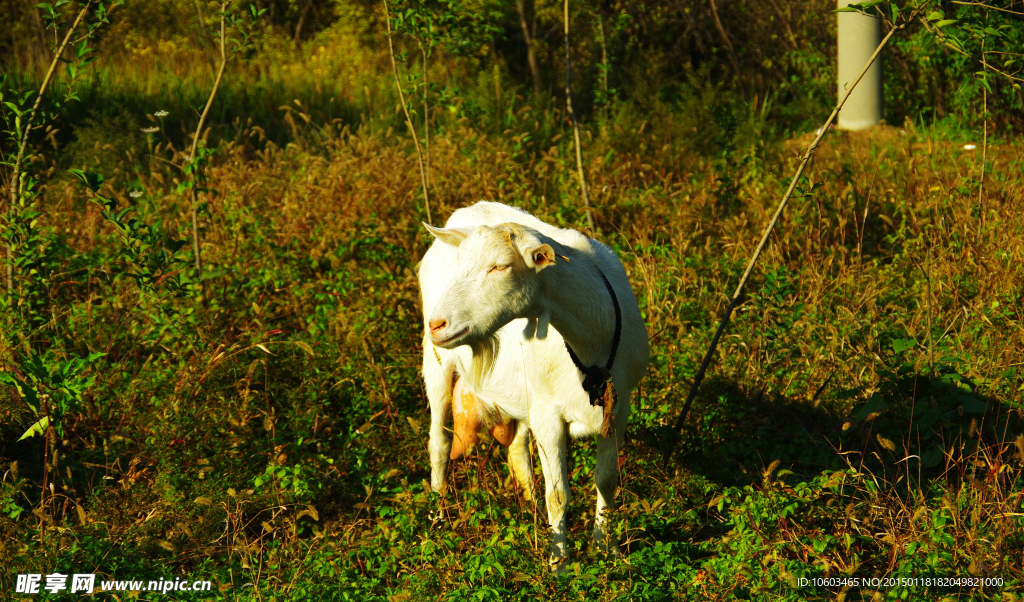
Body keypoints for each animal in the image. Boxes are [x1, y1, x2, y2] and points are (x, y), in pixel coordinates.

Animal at [417, 200, 647, 569]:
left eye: (500, 266)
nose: (438, 323)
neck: (592, 343)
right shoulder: (549, 414)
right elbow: (558, 494)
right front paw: (559, 564)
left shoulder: (619, 406)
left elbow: (607, 480)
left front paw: (606, 550)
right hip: (437, 362)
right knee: (439, 441)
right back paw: (437, 517)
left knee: (516, 447)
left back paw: (530, 510)